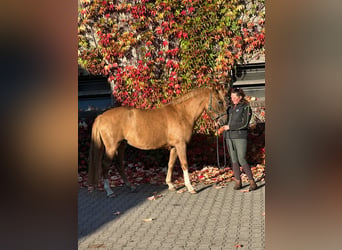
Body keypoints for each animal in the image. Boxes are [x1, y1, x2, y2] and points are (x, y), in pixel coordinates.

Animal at [87, 87, 227, 196]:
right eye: (220, 102)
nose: (224, 122)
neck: (182, 114)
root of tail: (101, 117)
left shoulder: (174, 147)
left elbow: (170, 164)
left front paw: (170, 185)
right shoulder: (181, 145)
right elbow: (184, 164)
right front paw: (190, 188)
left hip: (121, 145)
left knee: (119, 165)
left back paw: (131, 187)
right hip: (111, 148)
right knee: (105, 165)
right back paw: (109, 191)